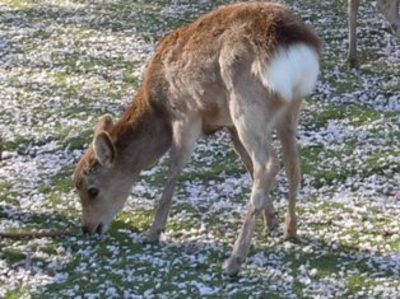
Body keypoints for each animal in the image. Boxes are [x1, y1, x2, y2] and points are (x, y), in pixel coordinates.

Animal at [73, 2, 320, 278]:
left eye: (92, 190)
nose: (88, 228)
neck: (158, 109)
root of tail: (297, 49)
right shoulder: (228, 126)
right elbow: (246, 165)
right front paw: (272, 222)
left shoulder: (185, 114)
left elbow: (174, 168)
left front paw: (153, 232)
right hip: (287, 109)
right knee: (291, 164)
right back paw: (290, 231)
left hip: (246, 105)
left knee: (268, 164)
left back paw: (234, 261)